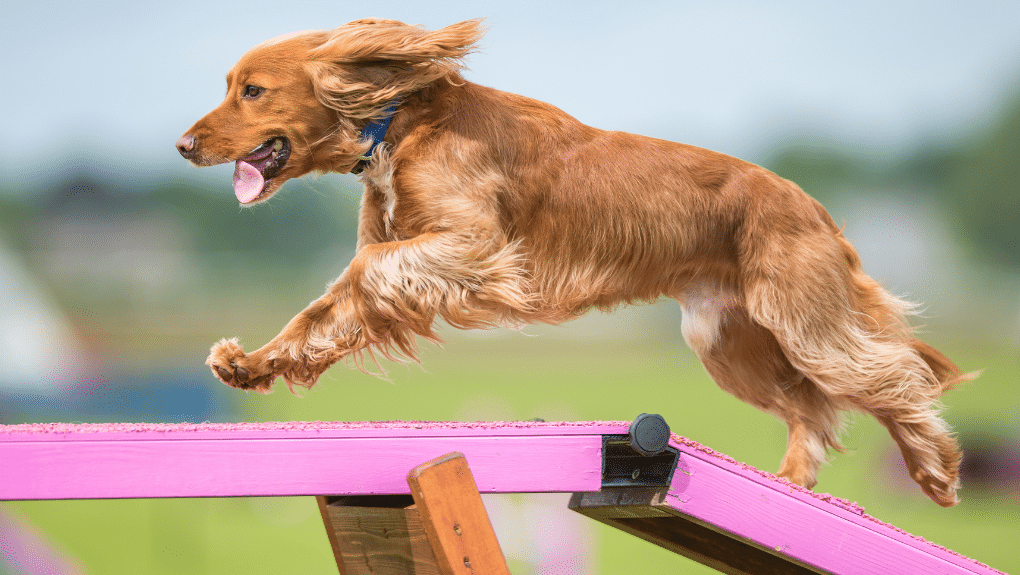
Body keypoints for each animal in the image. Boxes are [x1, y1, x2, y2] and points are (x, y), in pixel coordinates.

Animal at [175, 17, 971, 505]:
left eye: (253, 90)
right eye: (230, 86)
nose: (182, 146)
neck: (401, 121)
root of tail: (815, 207)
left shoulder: (475, 248)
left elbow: (359, 276)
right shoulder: (412, 251)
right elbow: (324, 308)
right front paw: (252, 364)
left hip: (803, 321)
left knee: (893, 376)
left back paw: (934, 467)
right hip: (729, 341)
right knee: (812, 406)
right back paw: (792, 483)